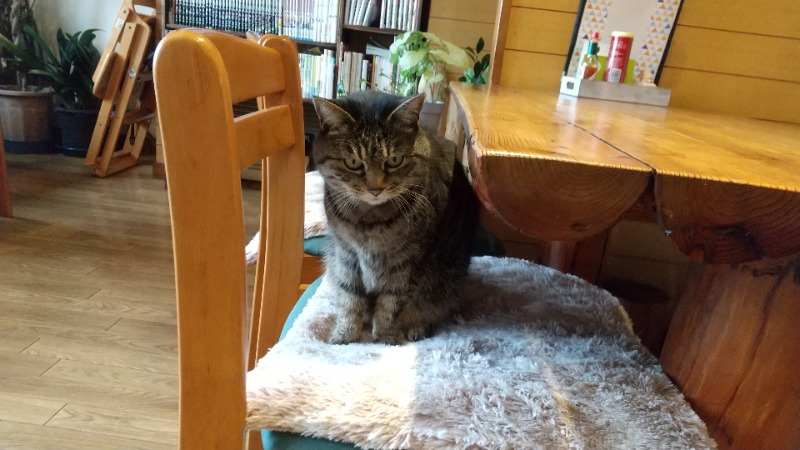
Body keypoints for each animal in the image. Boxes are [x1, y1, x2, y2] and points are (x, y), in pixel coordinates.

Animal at [310, 91, 476, 344]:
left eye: (394, 161)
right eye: (353, 163)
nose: (375, 189)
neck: (369, 221)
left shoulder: (407, 262)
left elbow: (392, 303)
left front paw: (385, 339)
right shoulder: (345, 253)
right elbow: (349, 297)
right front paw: (345, 335)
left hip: (446, 282)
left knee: (432, 309)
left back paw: (417, 328)